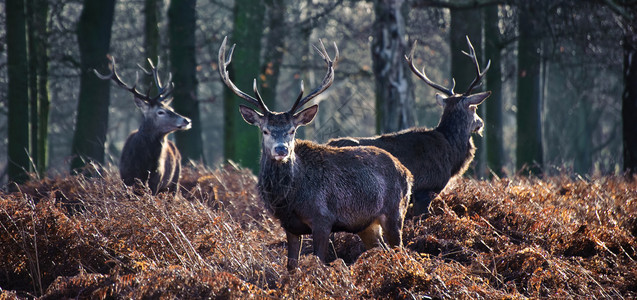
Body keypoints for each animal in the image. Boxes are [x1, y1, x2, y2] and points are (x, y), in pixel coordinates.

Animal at [93, 57, 190, 196]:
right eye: (160, 112)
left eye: (171, 108)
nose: (186, 120)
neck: (143, 165)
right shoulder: (126, 179)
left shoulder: (156, 181)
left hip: (174, 183)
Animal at [219, 36, 412, 270]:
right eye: (265, 130)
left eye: (292, 130)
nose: (281, 149)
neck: (289, 198)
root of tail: (407, 172)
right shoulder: (289, 226)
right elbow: (291, 266)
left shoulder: (323, 219)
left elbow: (319, 262)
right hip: (366, 225)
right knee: (381, 249)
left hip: (396, 212)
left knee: (400, 249)